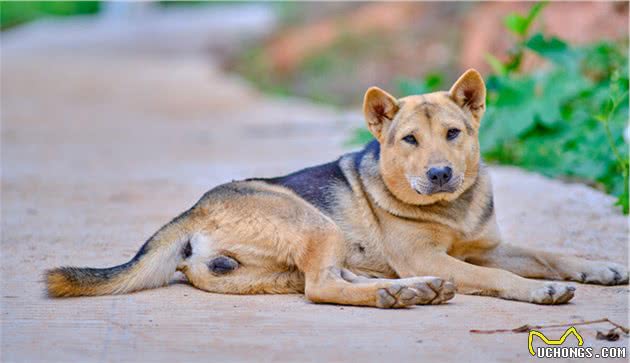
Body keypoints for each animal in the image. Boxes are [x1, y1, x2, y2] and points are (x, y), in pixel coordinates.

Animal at [47, 69, 628, 308]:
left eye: (453, 134)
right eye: (409, 140)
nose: (440, 174)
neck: (451, 208)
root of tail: (192, 211)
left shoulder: (485, 246)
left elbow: (550, 254)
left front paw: (599, 267)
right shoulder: (439, 256)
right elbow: (505, 277)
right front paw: (538, 291)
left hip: (286, 259)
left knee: (325, 278)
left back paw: (409, 289)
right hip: (313, 220)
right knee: (321, 287)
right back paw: (399, 293)